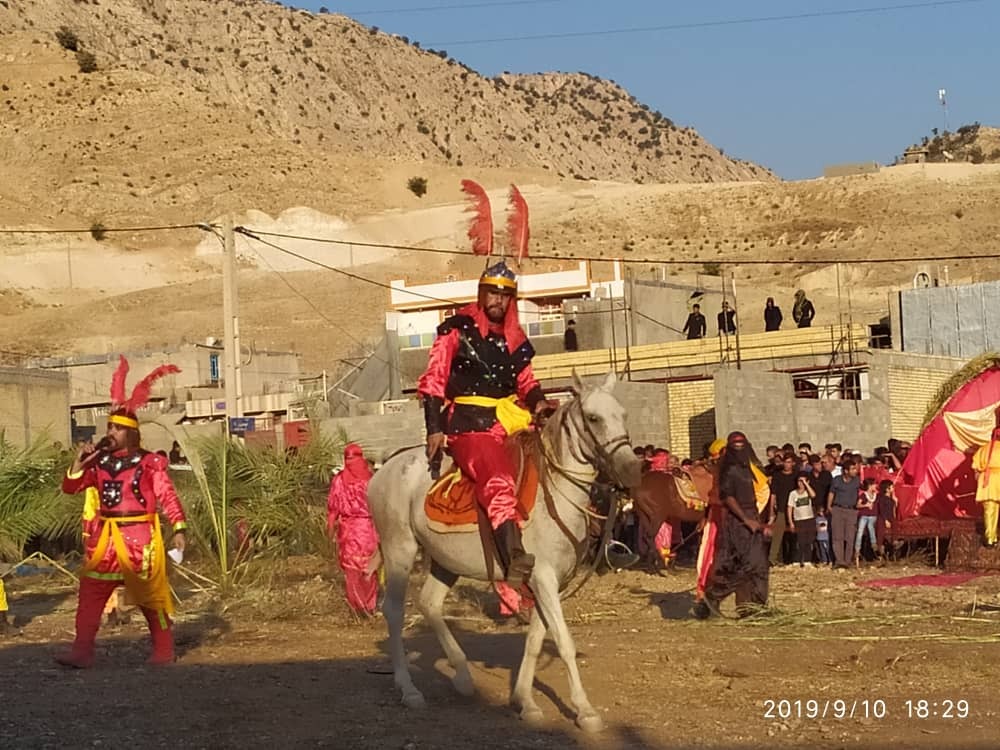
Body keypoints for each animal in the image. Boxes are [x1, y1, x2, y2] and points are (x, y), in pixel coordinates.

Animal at [368, 374, 640, 736]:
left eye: (623, 415)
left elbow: (536, 640)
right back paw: (409, 689)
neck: (555, 492)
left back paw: (462, 676)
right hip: (400, 550)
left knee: (430, 604)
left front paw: (525, 701)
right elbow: (563, 641)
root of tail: (384, 468)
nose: (632, 470)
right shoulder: (543, 577)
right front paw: (585, 711)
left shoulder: (547, 584)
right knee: (395, 612)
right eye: (593, 418)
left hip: (445, 561)